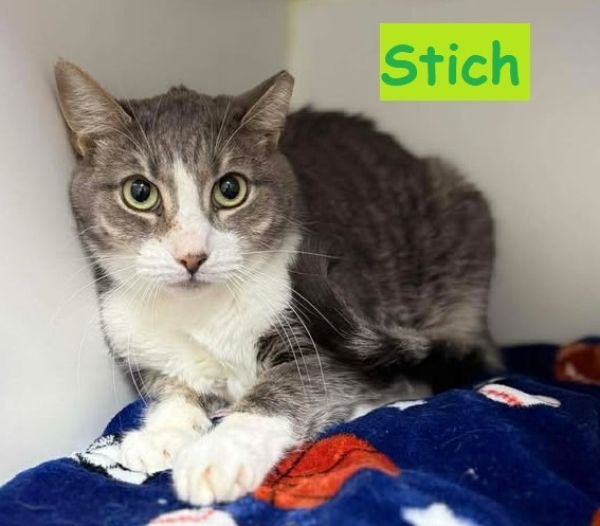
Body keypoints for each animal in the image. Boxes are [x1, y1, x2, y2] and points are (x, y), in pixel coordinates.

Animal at [54, 60, 499, 505]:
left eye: (230, 188)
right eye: (140, 191)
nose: (192, 255)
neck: (202, 313)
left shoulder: (329, 342)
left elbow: (287, 387)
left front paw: (218, 454)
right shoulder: (134, 337)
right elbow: (170, 384)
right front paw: (162, 433)